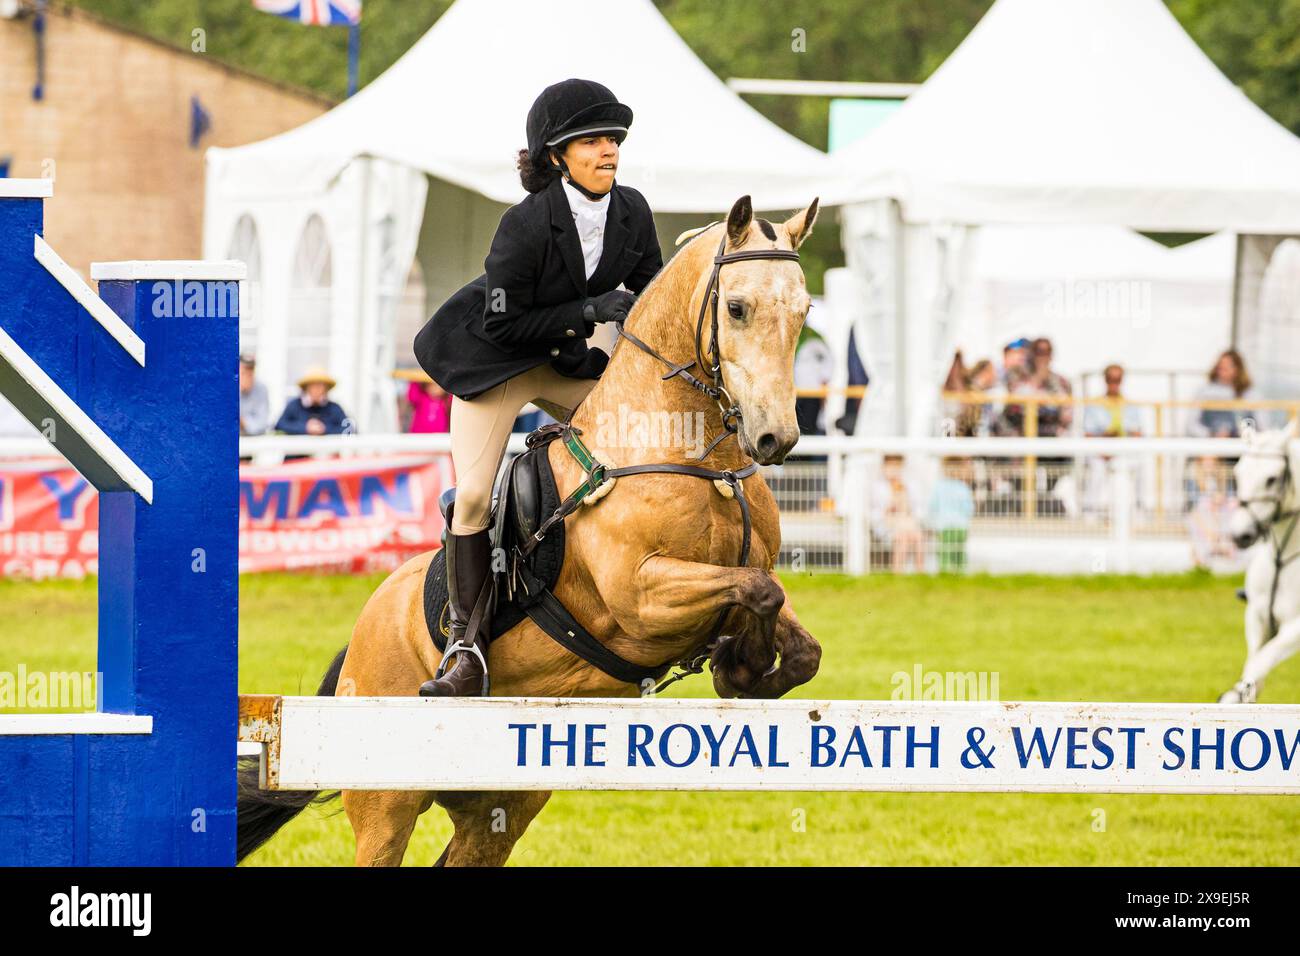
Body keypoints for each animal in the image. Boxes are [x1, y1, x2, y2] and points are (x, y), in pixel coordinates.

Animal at [236, 195, 821, 868]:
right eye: (737, 308)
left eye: (804, 311)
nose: (776, 439)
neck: (701, 459)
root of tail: (365, 626)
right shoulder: (641, 597)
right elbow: (755, 590)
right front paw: (739, 664)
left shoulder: (739, 573)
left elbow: (788, 627)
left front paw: (742, 667)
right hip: (387, 805)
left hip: (502, 805)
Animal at [1216, 421, 1300, 707]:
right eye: (1238, 473)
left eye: (1271, 478)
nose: (1240, 535)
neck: (1283, 555)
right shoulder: (1257, 615)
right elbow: (1254, 663)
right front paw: (1234, 697)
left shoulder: (1294, 628)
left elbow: (1261, 662)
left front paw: (1241, 693)